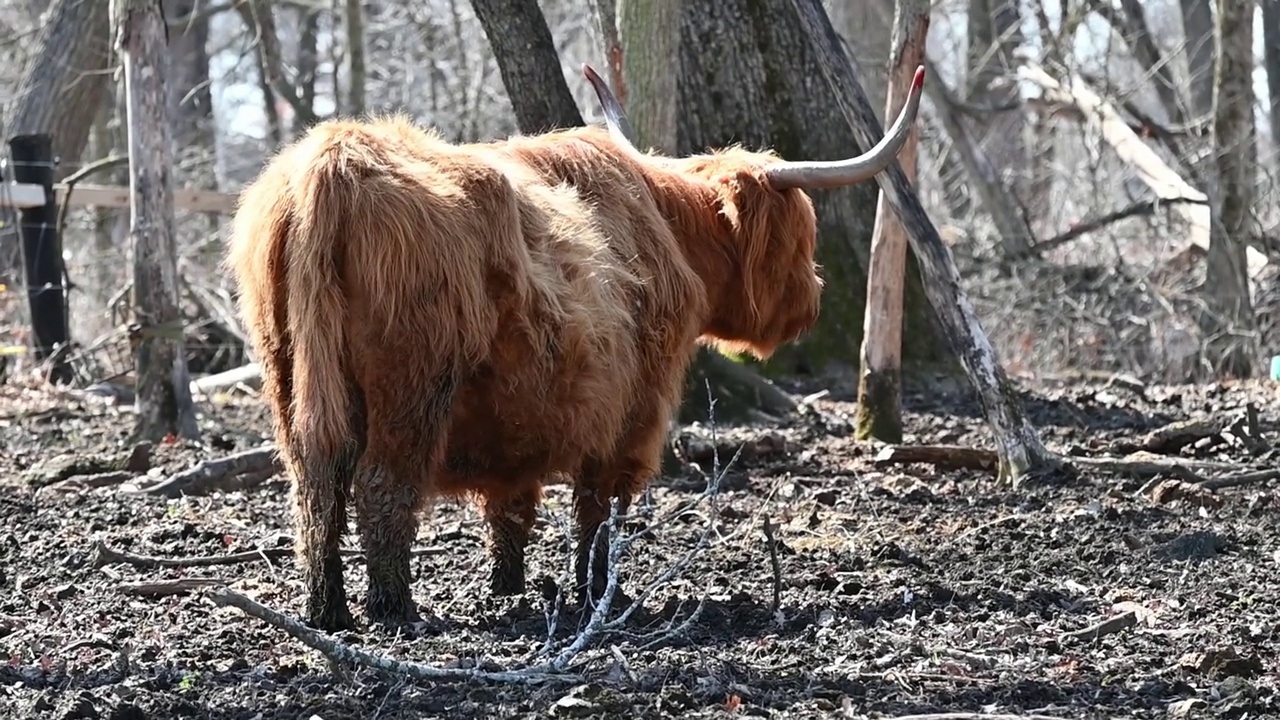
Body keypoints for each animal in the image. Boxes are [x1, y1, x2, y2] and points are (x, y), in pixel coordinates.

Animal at [222, 65, 921, 627]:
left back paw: (327, 611)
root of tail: (334, 159)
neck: (666, 227)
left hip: (287, 377)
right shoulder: (636, 413)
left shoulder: (514, 426)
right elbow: (600, 507)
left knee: (314, 488)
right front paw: (596, 593)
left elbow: (511, 510)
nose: (813, 299)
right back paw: (396, 611)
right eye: (802, 235)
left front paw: (506, 590)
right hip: (412, 388)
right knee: (381, 489)